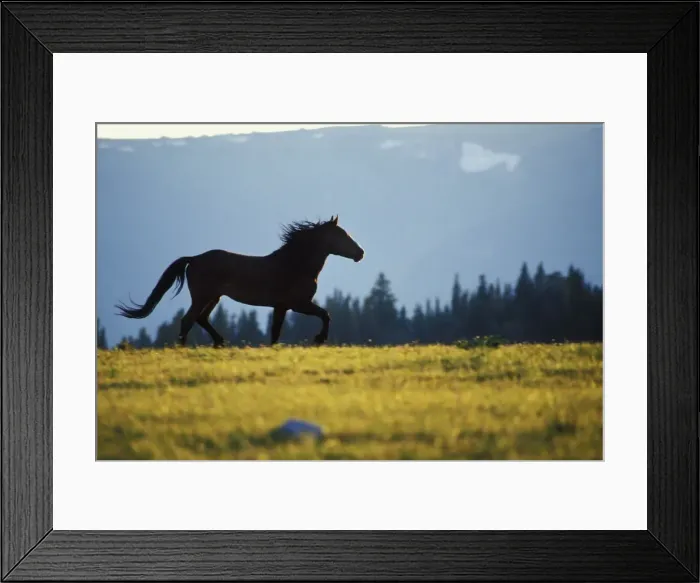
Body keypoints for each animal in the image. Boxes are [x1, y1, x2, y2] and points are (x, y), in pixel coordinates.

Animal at [115, 215, 365, 347]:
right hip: (203, 296)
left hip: (214, 297)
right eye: (342, 235)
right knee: (188, 320)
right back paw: (184, 348)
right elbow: (325, 314)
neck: (295, 265)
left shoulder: (281, 306)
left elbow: (276, 331)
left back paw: (220, 342)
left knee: (201, 318)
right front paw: (319, 338)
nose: (360, 253)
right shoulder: (298, 304)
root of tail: (194, 259)